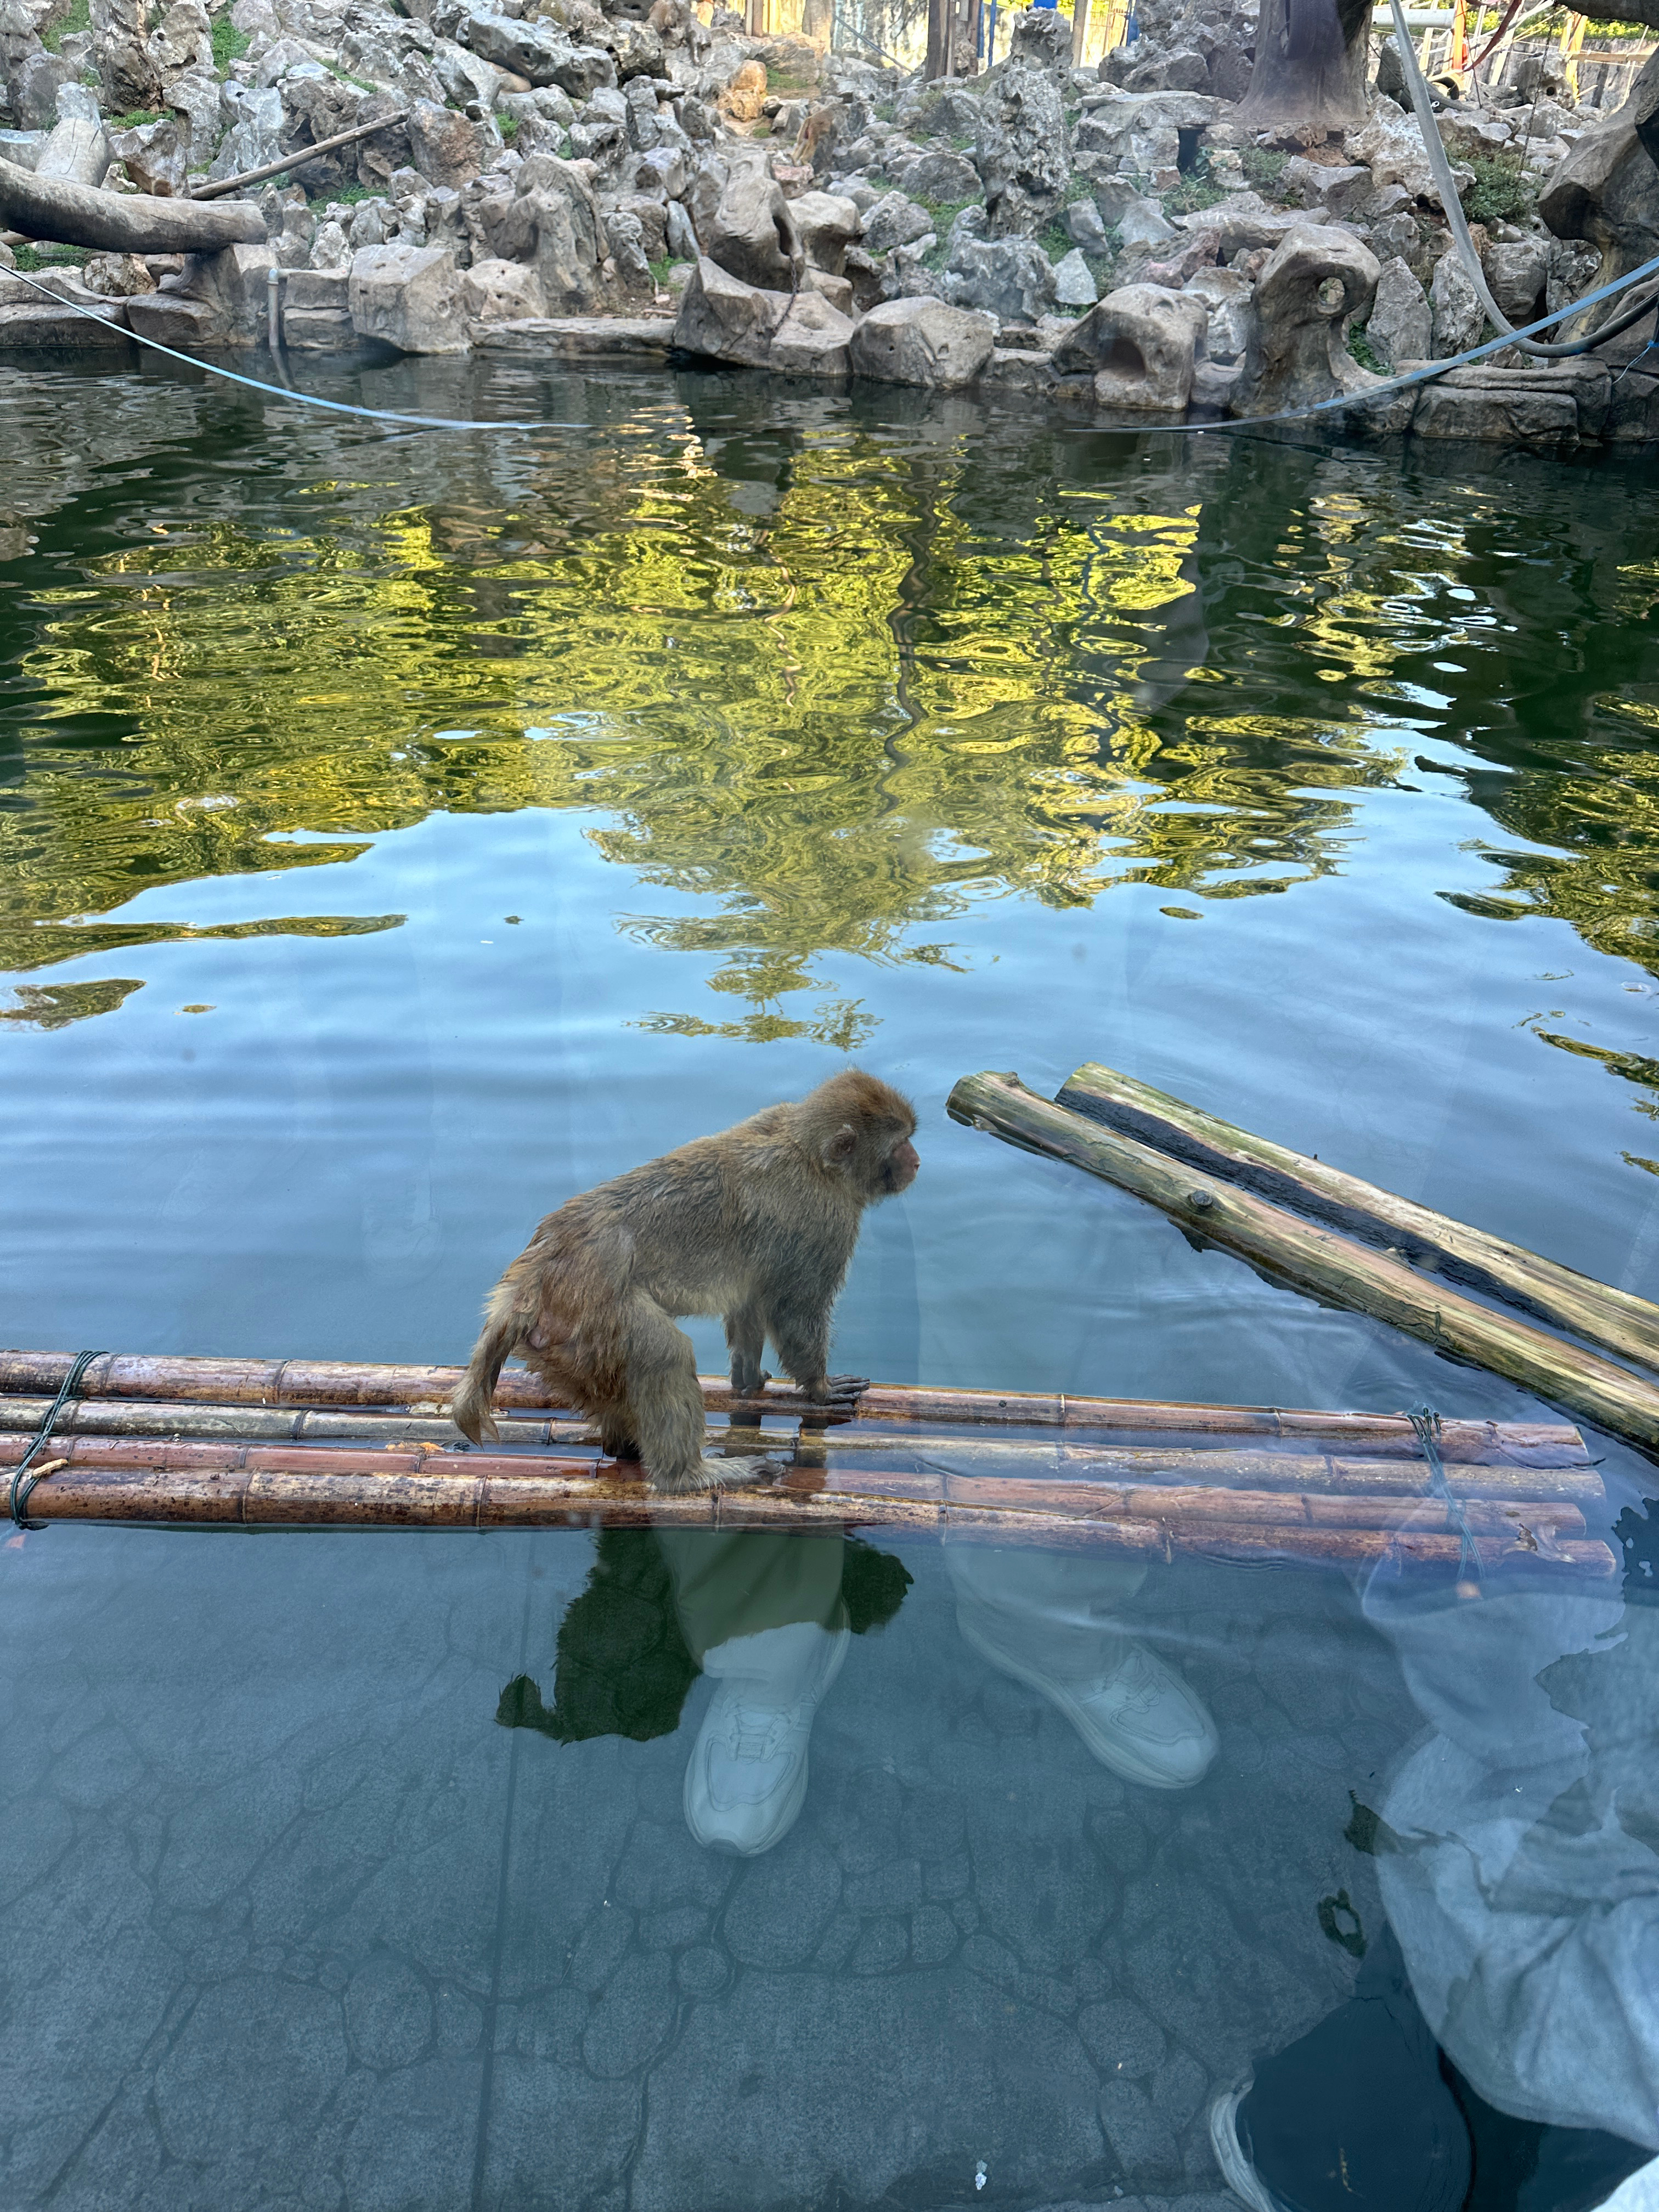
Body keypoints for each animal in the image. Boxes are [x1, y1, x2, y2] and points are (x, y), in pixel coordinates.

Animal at [455, 1066, 924, 1495]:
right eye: (899, 1144)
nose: (917, 1161)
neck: (811, 1156)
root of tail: (529, 1281)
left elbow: (750, 1301)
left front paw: (747, 1378)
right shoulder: (825, 1221)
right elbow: (794, 1310)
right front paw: (820, 1388)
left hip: (565, 1353)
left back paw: (623, 1447)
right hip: (590, 1323)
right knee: (663, 1353)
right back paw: (686, 1475)